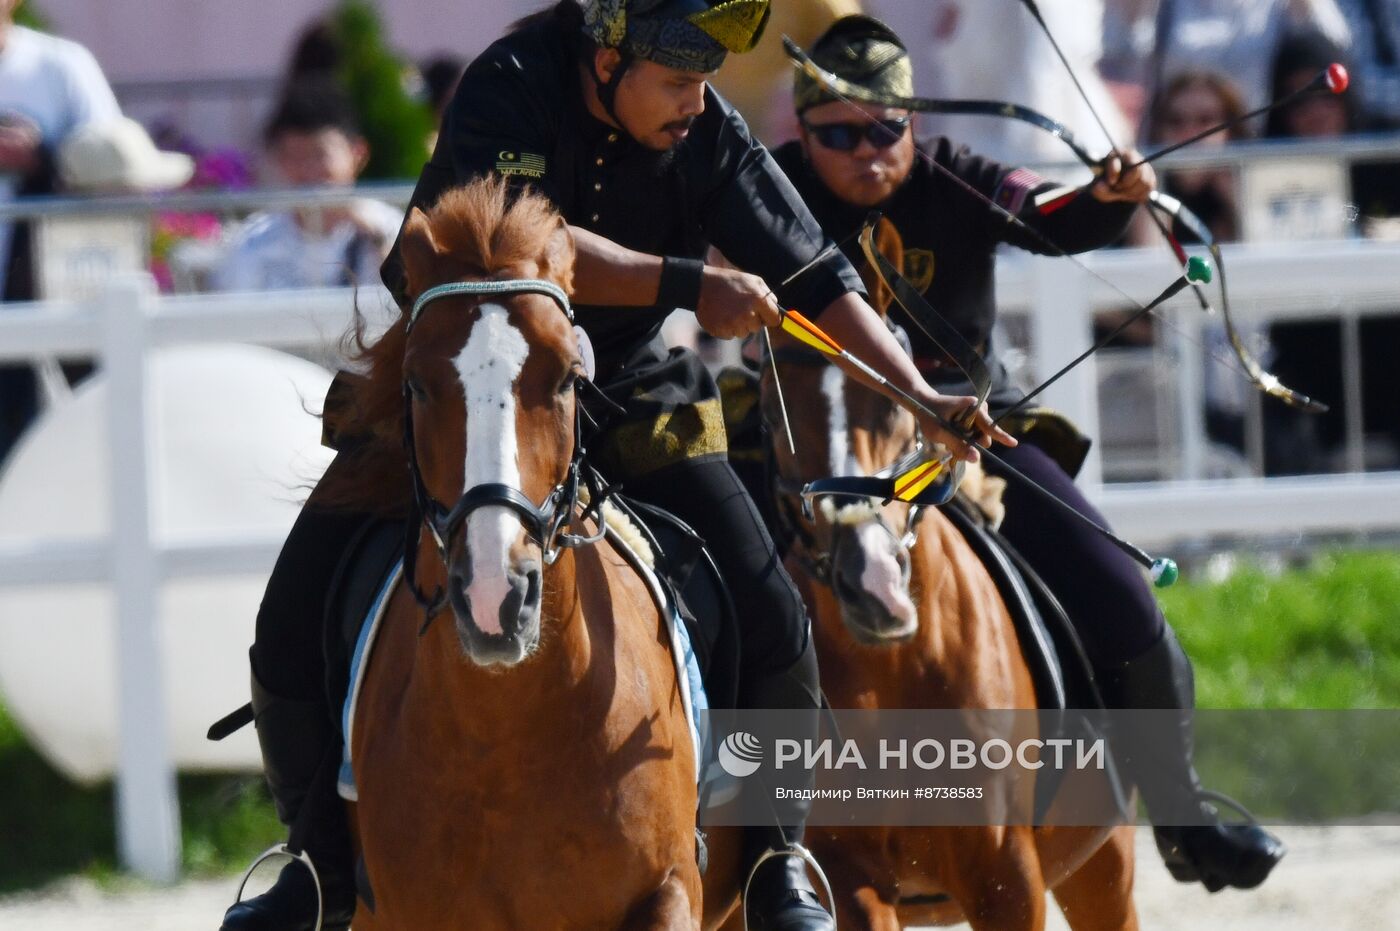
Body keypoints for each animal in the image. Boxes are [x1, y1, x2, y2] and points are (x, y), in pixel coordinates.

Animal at [756, 226, 1136, 929]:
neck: (892, 673)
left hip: (1104, 860)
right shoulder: (851, 876)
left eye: (893, 408)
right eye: (770, 416)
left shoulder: (1007, 873)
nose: (872, 586)